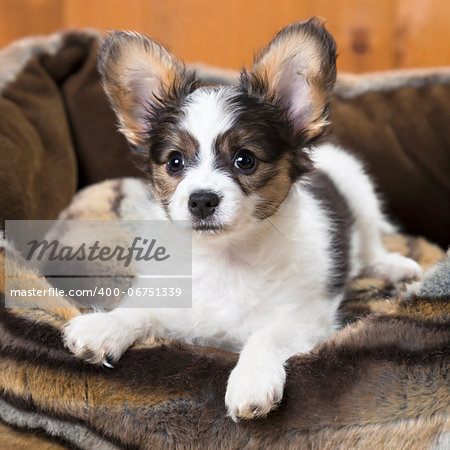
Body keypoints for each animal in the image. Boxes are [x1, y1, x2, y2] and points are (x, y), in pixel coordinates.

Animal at [62, 18, 422, 422]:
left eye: (245, 160)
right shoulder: (172, 301)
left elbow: (264, 335)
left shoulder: (306, 319)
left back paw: (396, 267)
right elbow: (139, 309)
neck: (226, 258)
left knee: (370, 247)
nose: (201, 200)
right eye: (175, 161)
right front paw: (105, 325)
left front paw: (251, 380)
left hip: (357, 186)